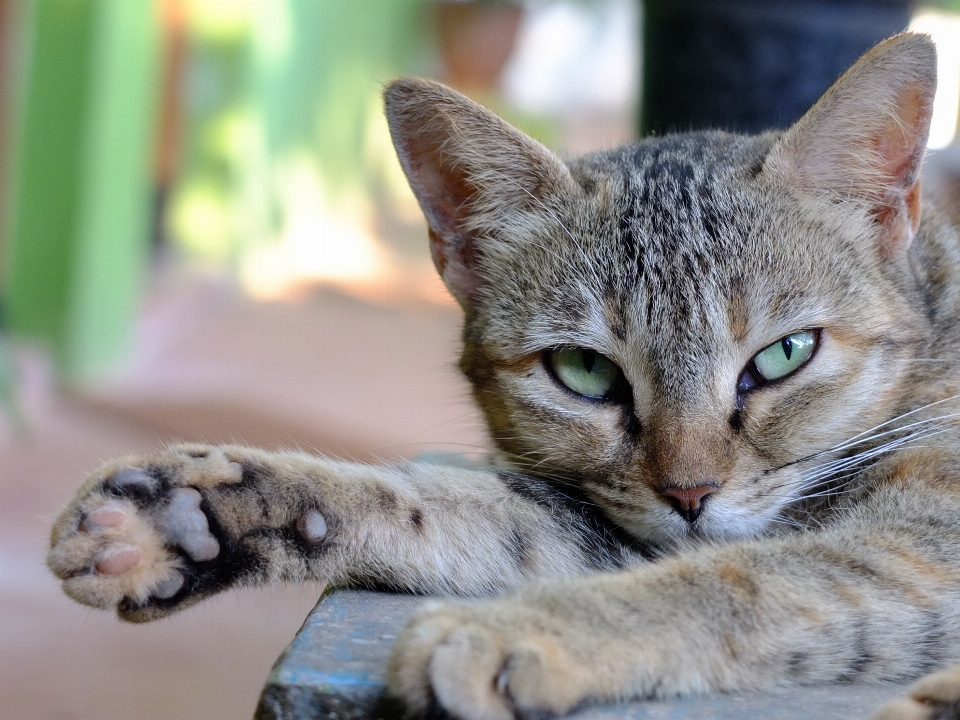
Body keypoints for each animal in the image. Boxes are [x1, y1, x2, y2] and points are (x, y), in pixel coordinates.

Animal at [47, 33, 960, 720]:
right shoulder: (610, 520)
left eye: (782, 356)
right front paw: (200, 513)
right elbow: (456, 508)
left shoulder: (925, 540)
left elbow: (744, 580)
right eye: (585, 372)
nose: (690, 494)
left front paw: (522, 631)